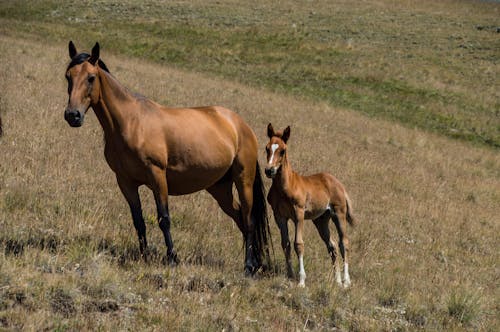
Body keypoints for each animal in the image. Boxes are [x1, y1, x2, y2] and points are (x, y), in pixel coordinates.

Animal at [65, 41, 274, 274]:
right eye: (68, 76)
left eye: (91, 78)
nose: (73, 115)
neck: (131, 123)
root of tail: (241, 125)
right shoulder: (125, 181)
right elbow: (138, 220)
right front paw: (145, 256)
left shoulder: (157, 176)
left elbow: (163, 218)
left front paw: (172, 258)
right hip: (220, 188)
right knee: (239, 218)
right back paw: (254, 263)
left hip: (243, 180)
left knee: (249, 220)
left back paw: (248, 266)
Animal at [266, 124, 356, 288]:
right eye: (267, 148)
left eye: (282, 150)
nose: (269, 170)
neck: (285, 187)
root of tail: (339, 184)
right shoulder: (279, 216)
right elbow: (285, 244)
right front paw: (290, 275)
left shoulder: (298, 214)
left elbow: (298, 244)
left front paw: (301, 281)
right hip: (321, 220)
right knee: (332, 245)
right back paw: (337, 281)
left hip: (339, 214)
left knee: (344, 243)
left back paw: (346, 281)